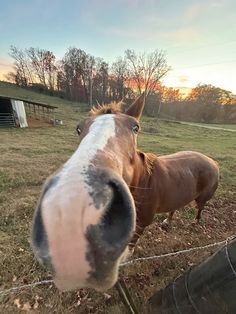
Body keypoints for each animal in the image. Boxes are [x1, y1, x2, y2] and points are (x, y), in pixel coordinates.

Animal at [31, 94, 219, 292]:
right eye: (78, 128)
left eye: (135, 127)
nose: (73, 202)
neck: (143, 181)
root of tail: (212, 161)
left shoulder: (143, 221)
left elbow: (133, 240)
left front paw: (126, 256)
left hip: (201, 200)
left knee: (200, 209)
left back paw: (195, 222)